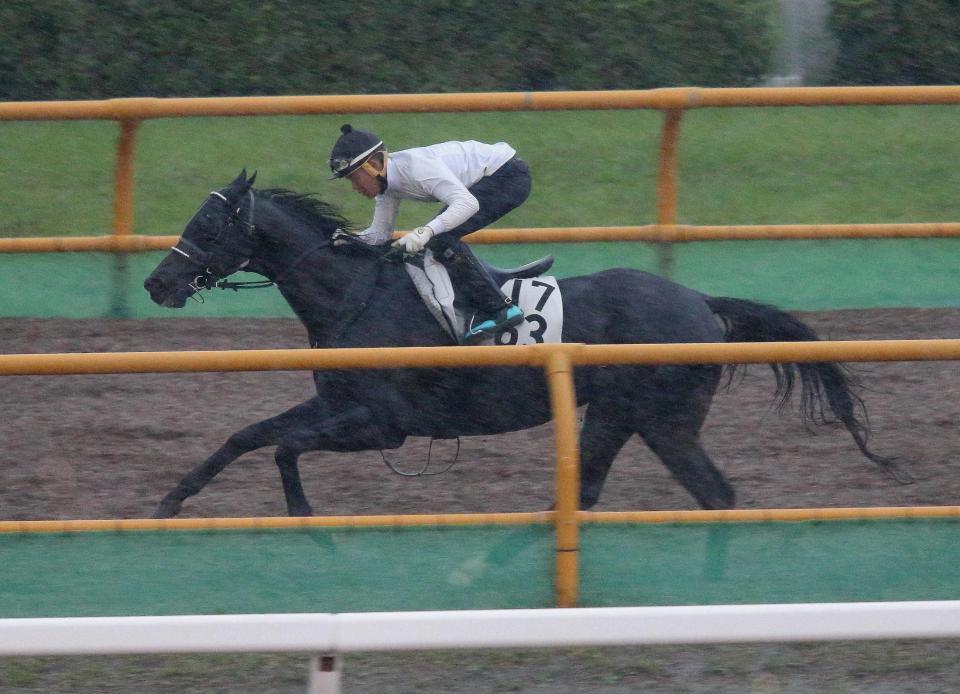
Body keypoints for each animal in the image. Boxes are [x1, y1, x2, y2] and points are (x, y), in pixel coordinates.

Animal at [144, 171, 900, 520]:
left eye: (207, 226)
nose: (157, 282)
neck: (353, 295)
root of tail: (700, 303)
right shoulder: (337, 404)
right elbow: (247, 435)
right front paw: (171, 501)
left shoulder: (383, 425)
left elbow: (285, 447)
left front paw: (301, 514)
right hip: (618, 415)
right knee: (594, 489)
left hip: (664, 419)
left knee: (712, 492)